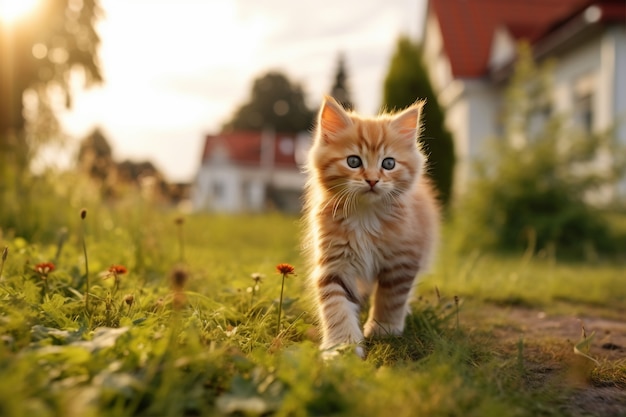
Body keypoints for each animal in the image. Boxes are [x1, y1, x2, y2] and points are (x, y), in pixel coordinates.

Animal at [302, 96, 438, 356]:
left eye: (389, 163)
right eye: (354, 161)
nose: (373, 180)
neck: (365, 215)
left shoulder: (402, 260)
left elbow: (392, 297)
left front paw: (384, 328)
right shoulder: (334, 263)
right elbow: (336, 307)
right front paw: (342, 347)